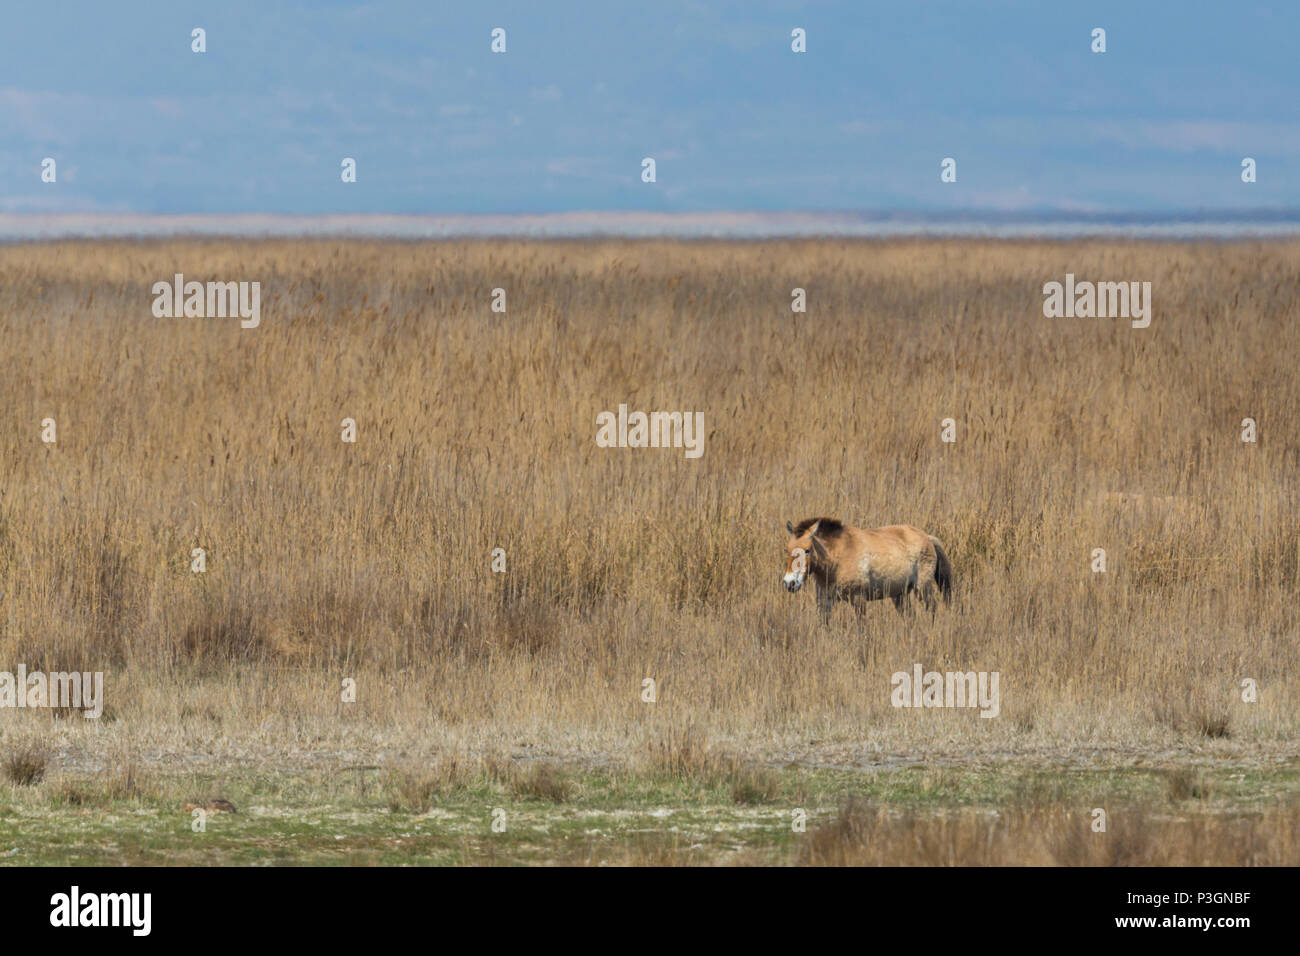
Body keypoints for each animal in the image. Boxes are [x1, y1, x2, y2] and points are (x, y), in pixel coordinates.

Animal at [780, 515, 956, 621]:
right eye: (787, 550)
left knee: (932, 609)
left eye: (807, 550)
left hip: (923, 589)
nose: (790, 583)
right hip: (899, 596)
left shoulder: (858, 600)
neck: (838, 558)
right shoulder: (825, 601)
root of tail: (928, 538)